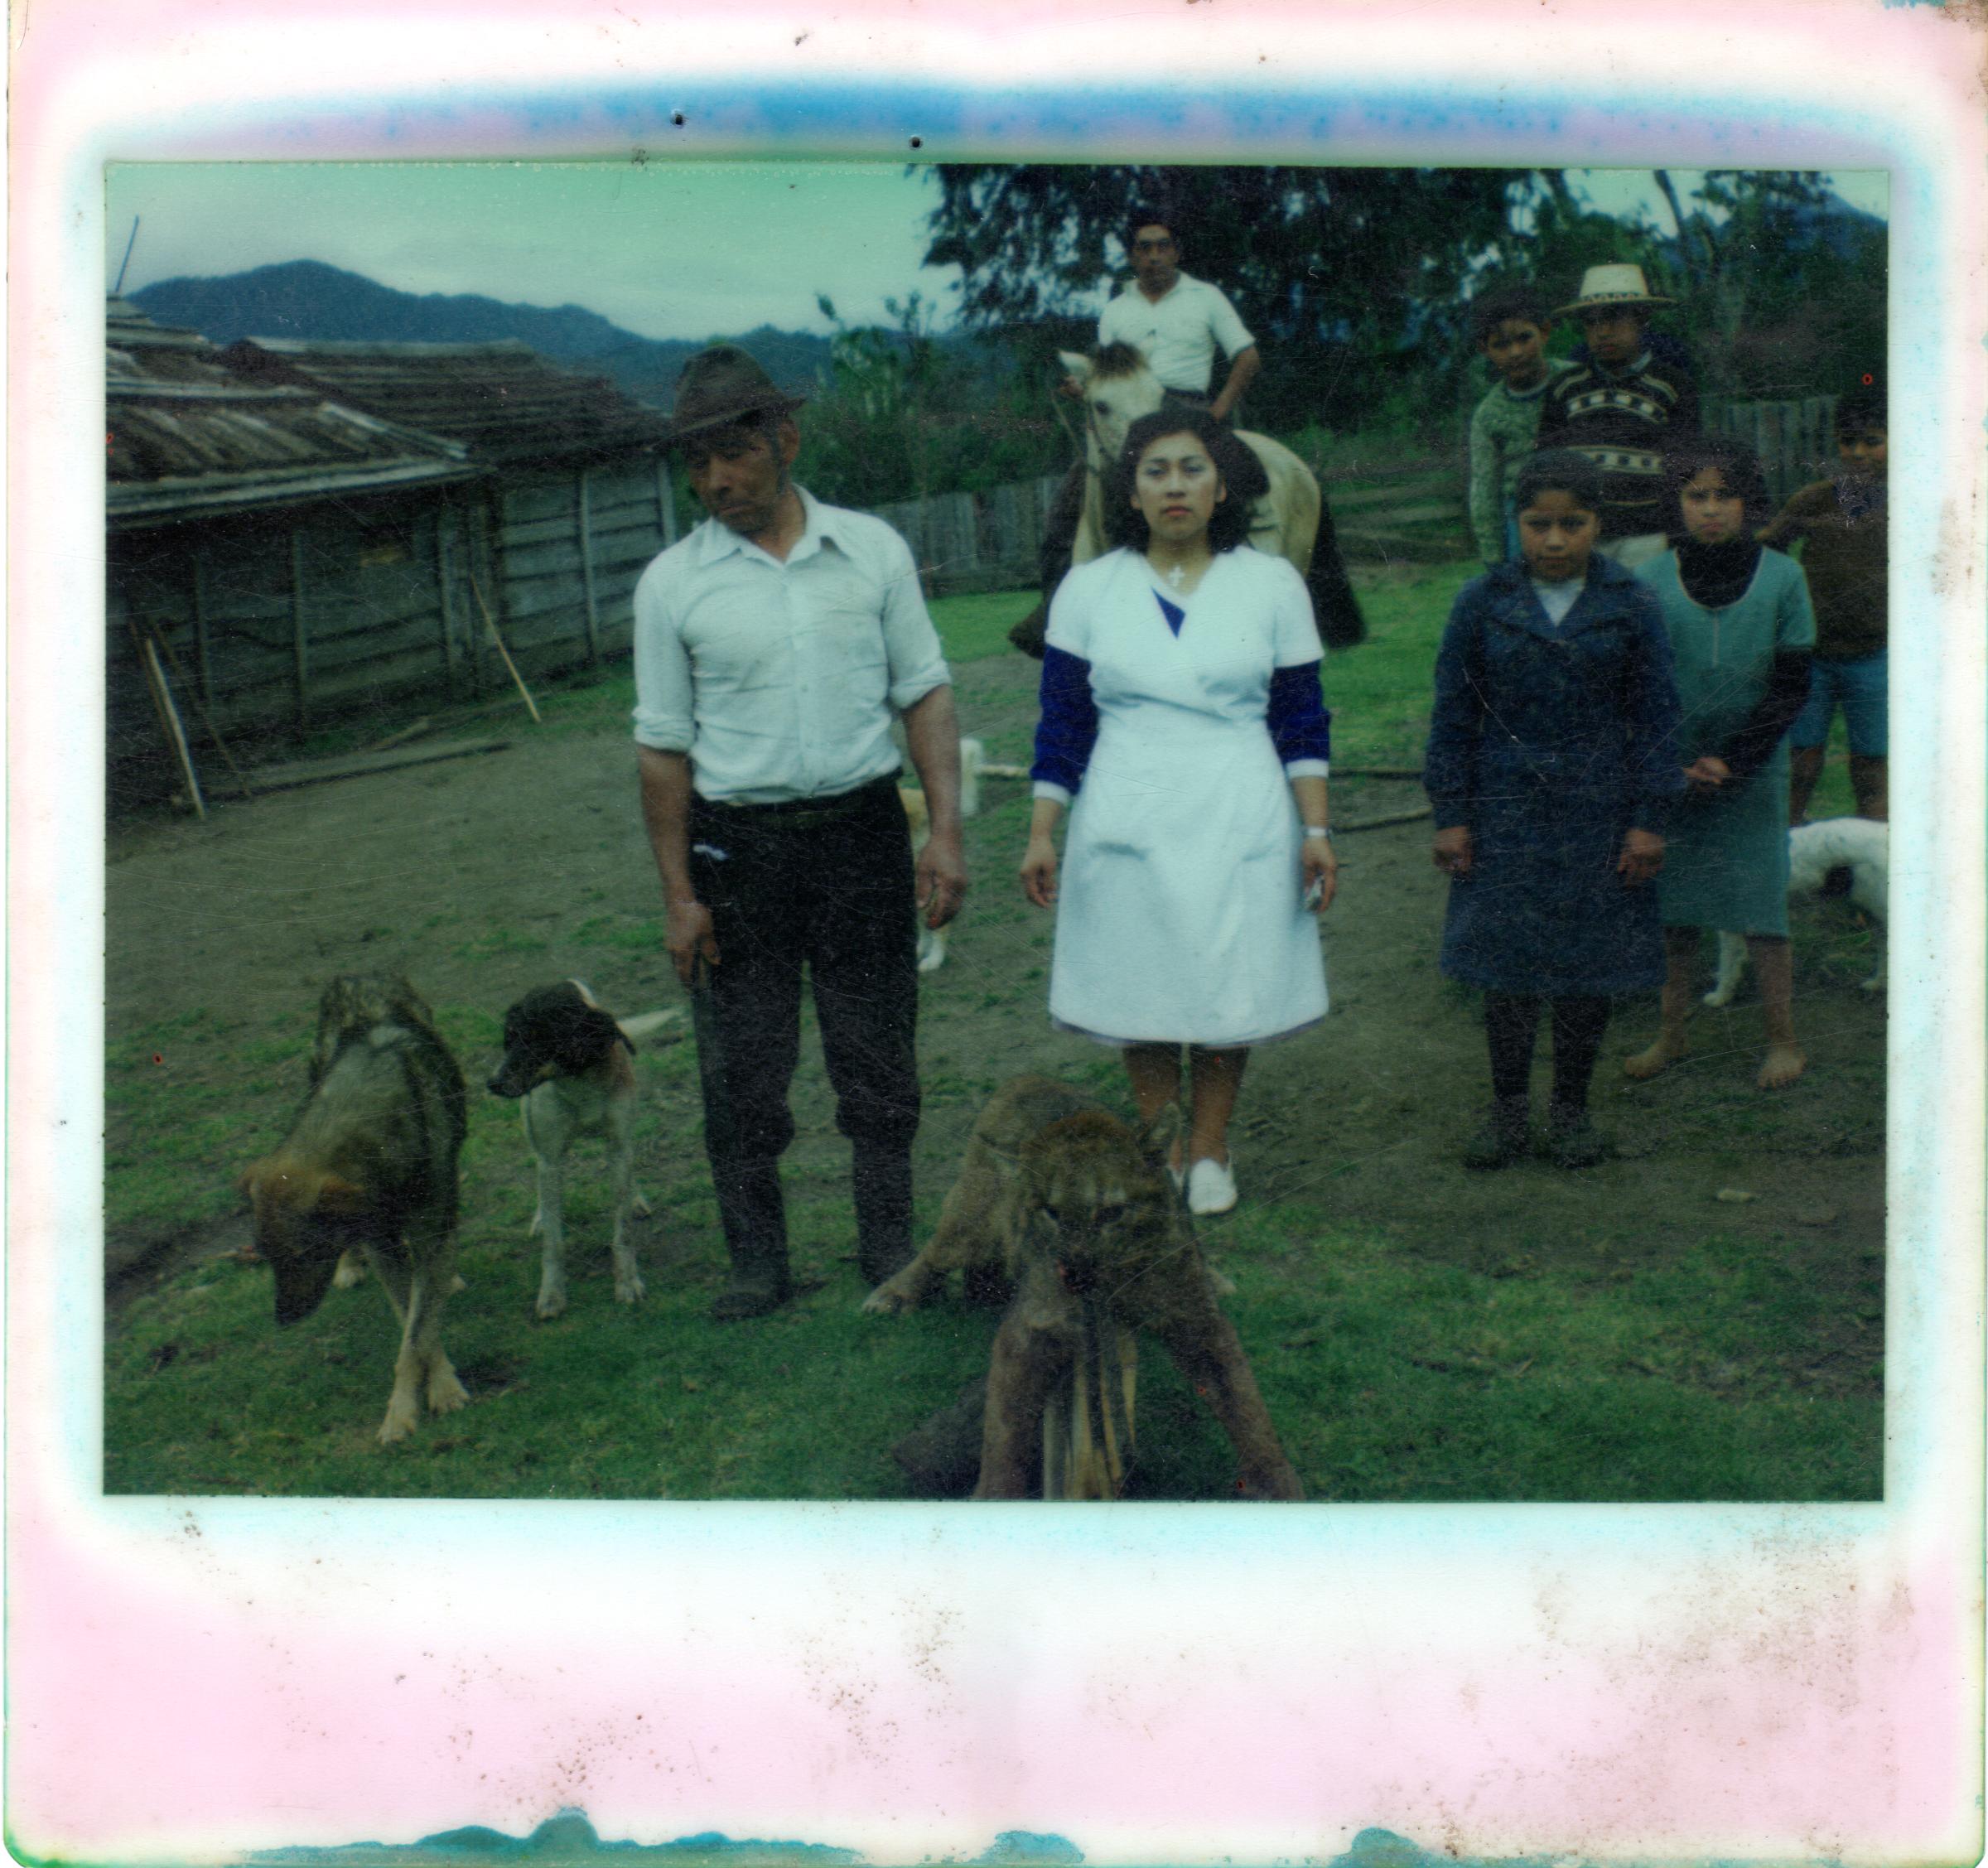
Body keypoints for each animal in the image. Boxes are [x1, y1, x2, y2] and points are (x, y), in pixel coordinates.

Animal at [240, 977, 469, 1446]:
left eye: (304, 1256)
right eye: (270, 1259)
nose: (283, 1320)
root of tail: (360, 975)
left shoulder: (428, 1235)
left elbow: (418, 1331)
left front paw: (436, 1392)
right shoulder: (382, 1246)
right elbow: (412, 1326)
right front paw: (412, 1402)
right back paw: (351, 1265)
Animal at [489, 977, 683, 1311]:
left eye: (538, 1037)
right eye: (510, 1038)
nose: (493, 1083)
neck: (579, 1083)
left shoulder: (618, 1147)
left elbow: (623, 1230)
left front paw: (627, 1282)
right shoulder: (552, 1160)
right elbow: (554, 1242)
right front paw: (552, 1293)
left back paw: (635, 1200)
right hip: (532, 1127)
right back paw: (541, 1216)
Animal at [871, 1073, 1304, 1494]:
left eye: (1112, 1212)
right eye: (1051, 1213)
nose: (1077, 1271)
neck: (1115, 1283)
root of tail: (1032, 1076)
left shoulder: (1194, 1315)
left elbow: (1244, 1403)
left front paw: (1278, 1485)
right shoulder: (1033, 1328)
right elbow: (1004, 1434)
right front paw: (994, 1494)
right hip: (975, 1222)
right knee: (937, 1250)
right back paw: (892, 1295)